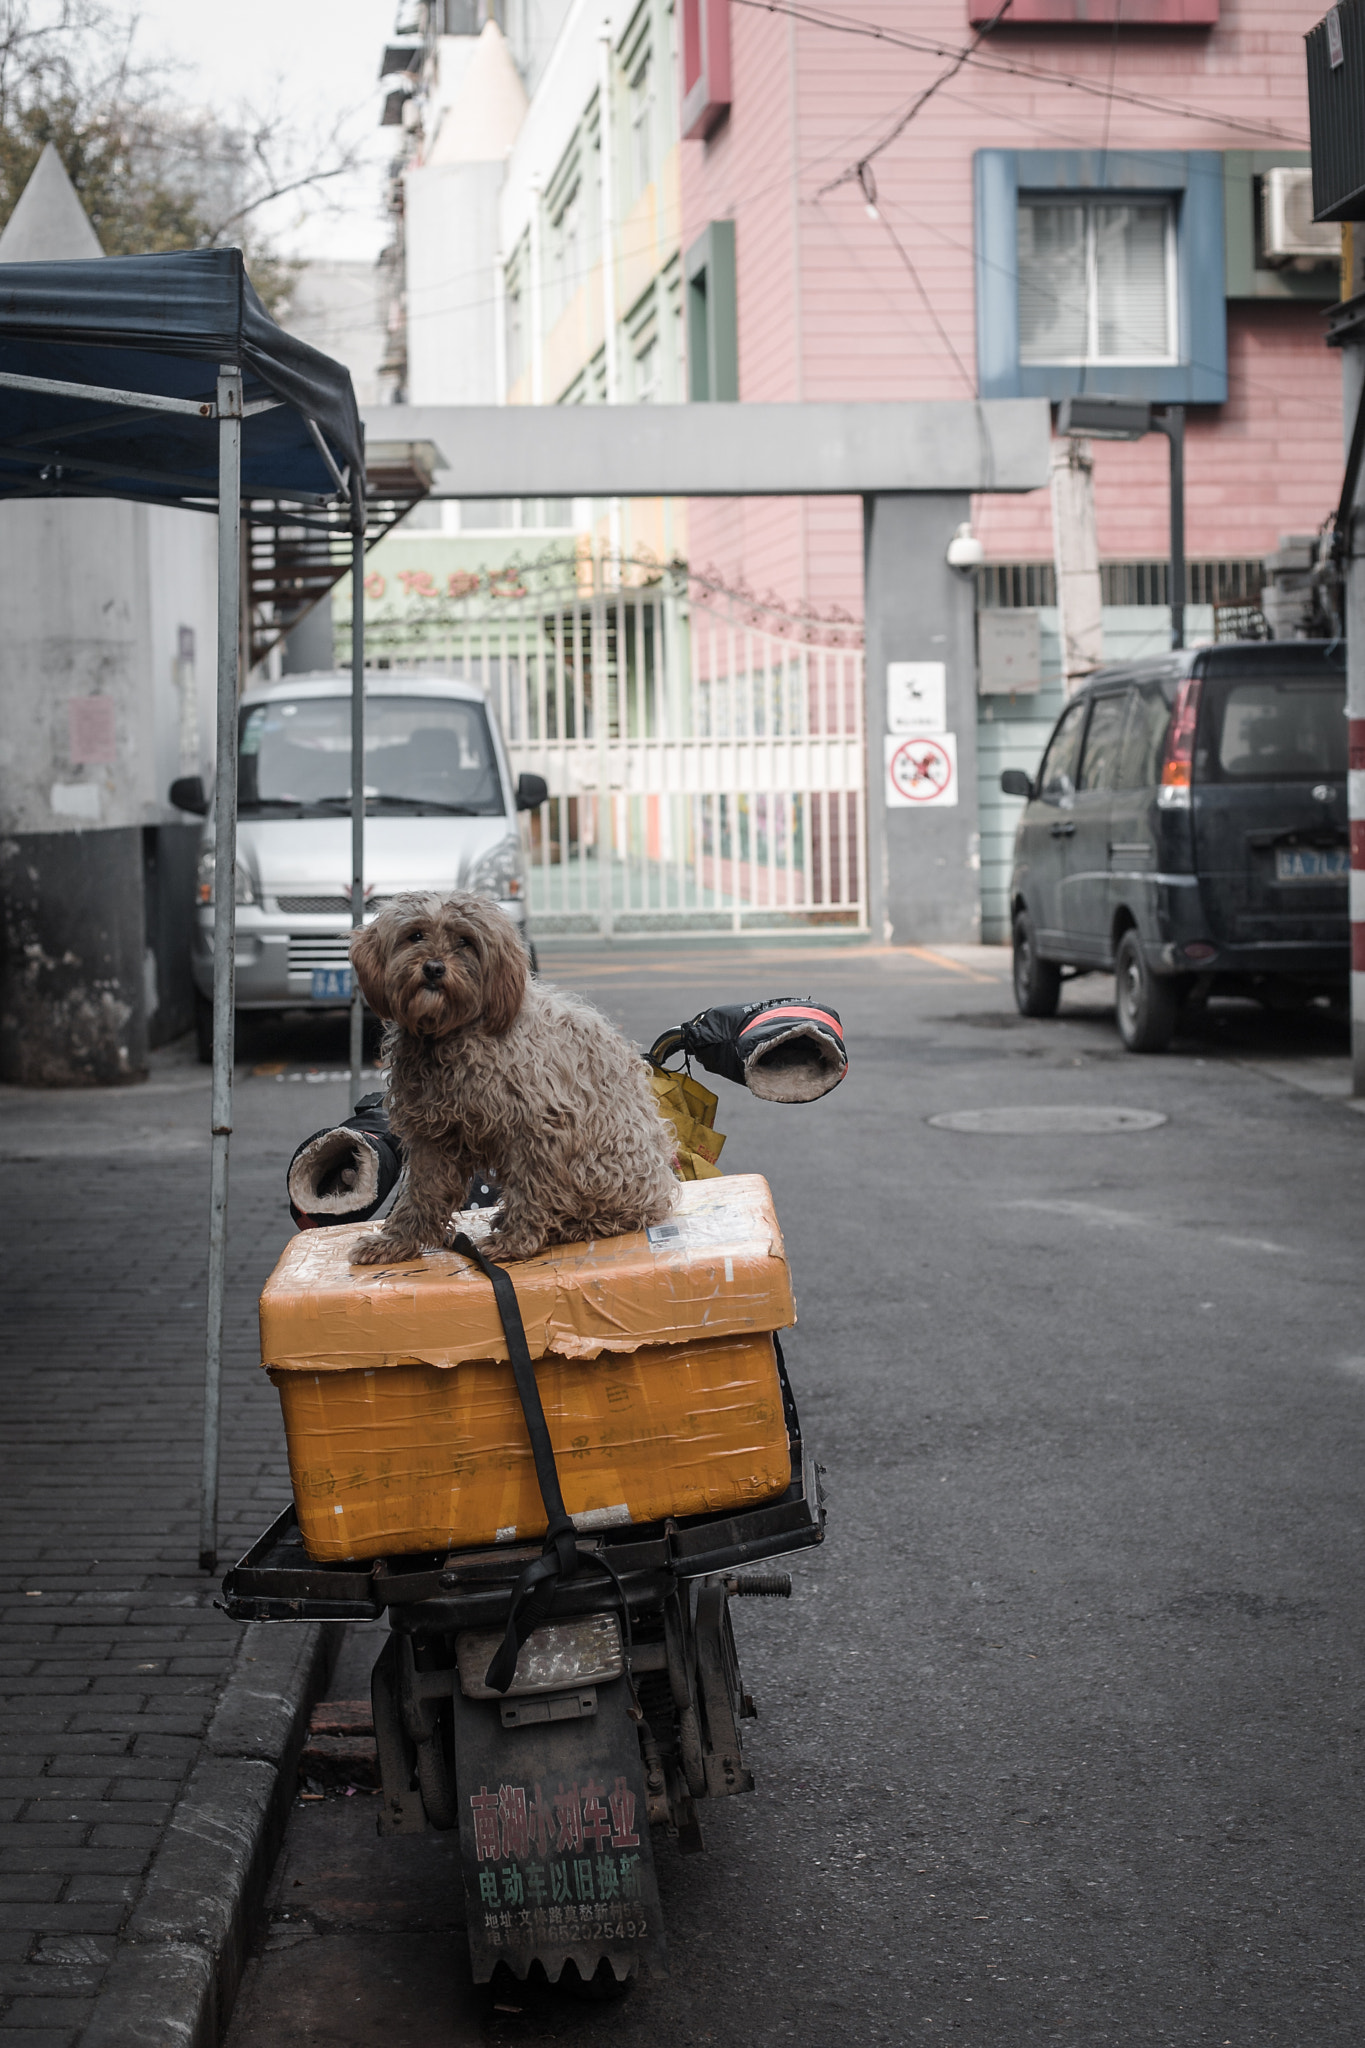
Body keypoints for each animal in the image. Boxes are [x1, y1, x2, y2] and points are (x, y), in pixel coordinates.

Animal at [347, 897, 679, 1261]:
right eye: (415, 935)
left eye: (465, 941)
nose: (434, 968)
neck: (450, 1035)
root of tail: (660, 1186)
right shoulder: (432, 1137)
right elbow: (421, 1193)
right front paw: (396, 1241)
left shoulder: (539, 1130)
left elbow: (531, 1190)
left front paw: (516, 1240)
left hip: (595, 1166)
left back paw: (565, 1225)